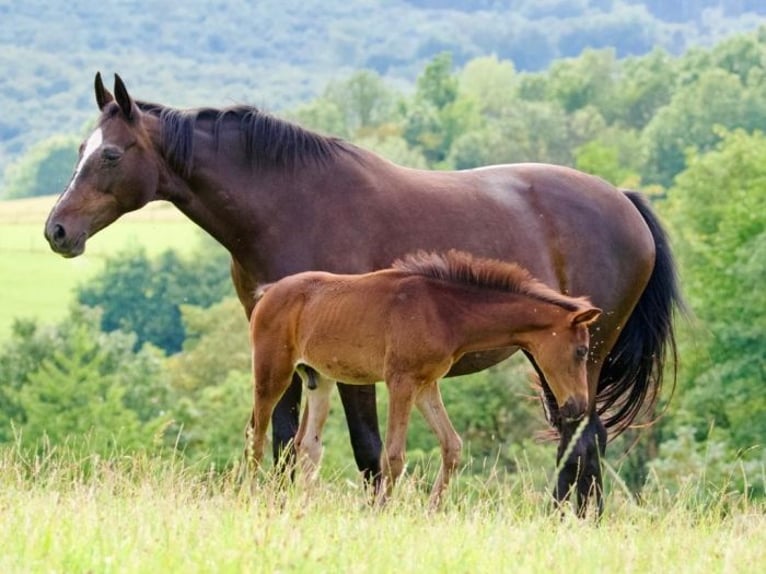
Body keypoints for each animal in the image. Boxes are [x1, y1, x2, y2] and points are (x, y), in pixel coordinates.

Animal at [43, 73, 684, 516]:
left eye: (109, 154)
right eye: (77, 151)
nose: (57, 230)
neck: (290, 205)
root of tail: (624, 201)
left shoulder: (356, 363)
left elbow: (370, 451)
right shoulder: (292, 358)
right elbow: (285, 443)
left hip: (579, 356)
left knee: (582, 438)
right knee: (584, 437)